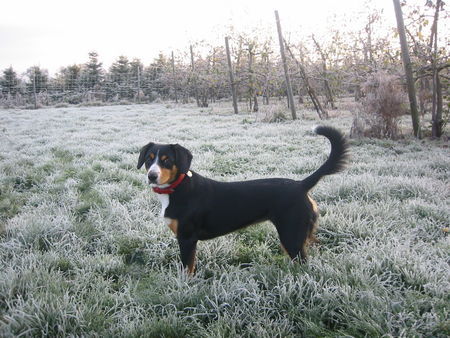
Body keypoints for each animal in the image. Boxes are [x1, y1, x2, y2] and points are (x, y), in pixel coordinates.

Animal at [137, 125, 348, 274]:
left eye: (167, 160)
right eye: (149, 159)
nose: (151, 176)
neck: (177, 188)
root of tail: (300, 184)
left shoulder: (187, 239)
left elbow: (187, 269)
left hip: (291, 234)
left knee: (303, 264)